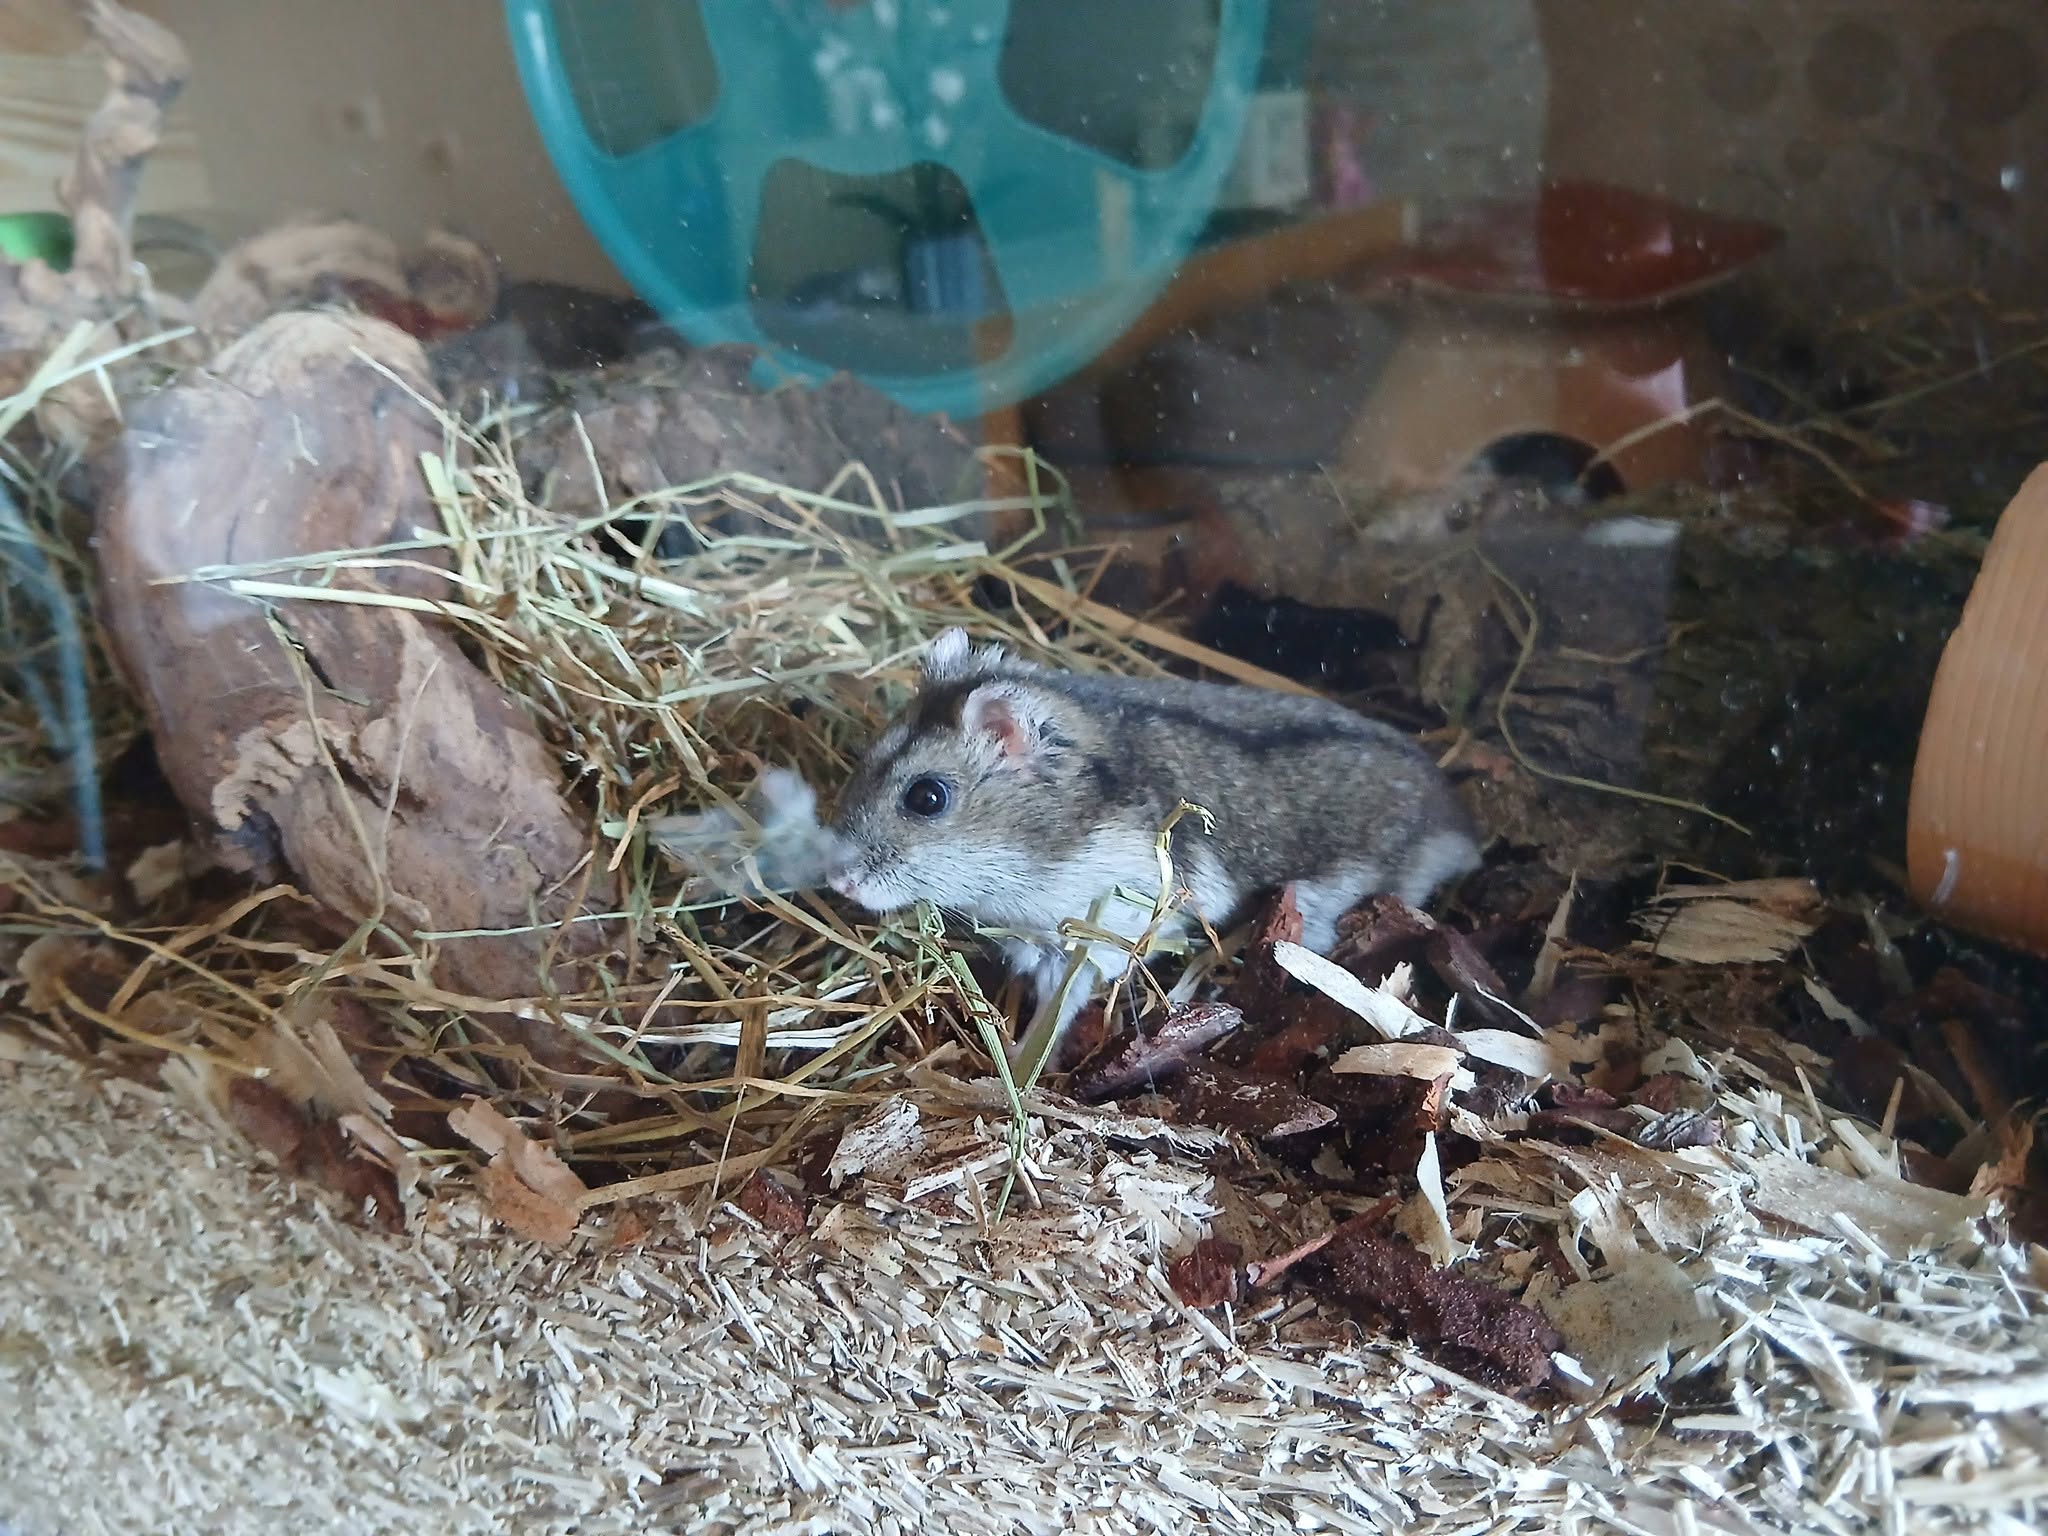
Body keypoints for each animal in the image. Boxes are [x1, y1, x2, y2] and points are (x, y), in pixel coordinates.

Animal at [826, 627, 1481, 1048]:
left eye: (927, 798)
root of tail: (1456, 819)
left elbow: (1060, 1005)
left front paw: (1017, 1061)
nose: (837, 880)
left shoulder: (1096, 933)